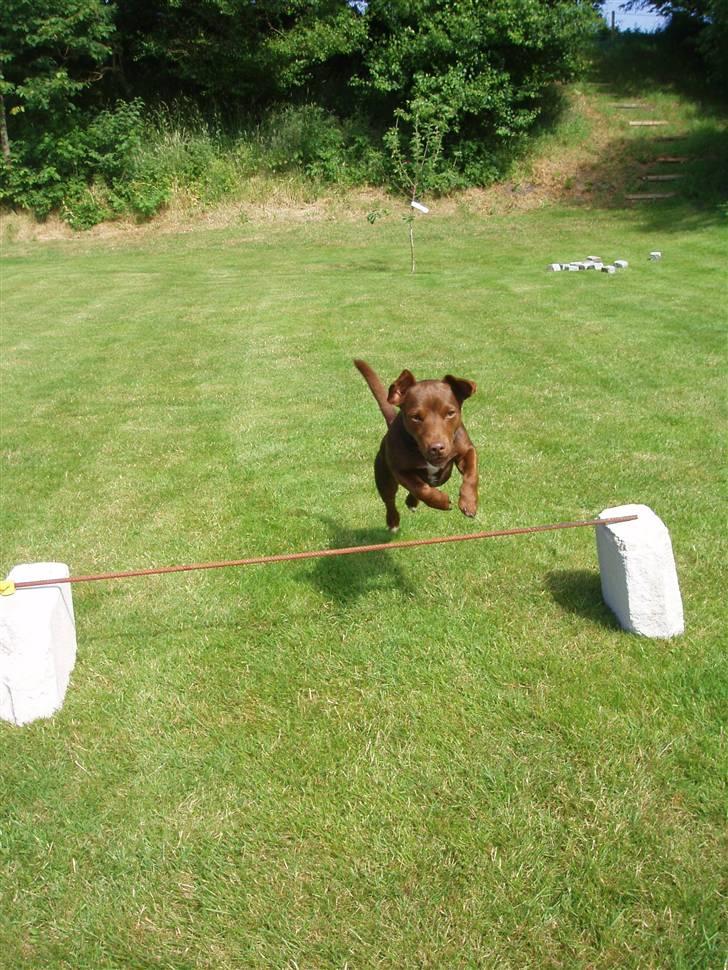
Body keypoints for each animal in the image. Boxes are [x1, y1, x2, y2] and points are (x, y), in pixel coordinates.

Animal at [352, 360, 478, 528]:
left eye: (450, 413)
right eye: (416, 417)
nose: (437, 448)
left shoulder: (466, 450)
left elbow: (471, 474)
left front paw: (469, 502)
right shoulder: (399, 470)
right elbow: (420, 488)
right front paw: (442, 501)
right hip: (384, 477)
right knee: (390, 499)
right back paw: (393, 521)